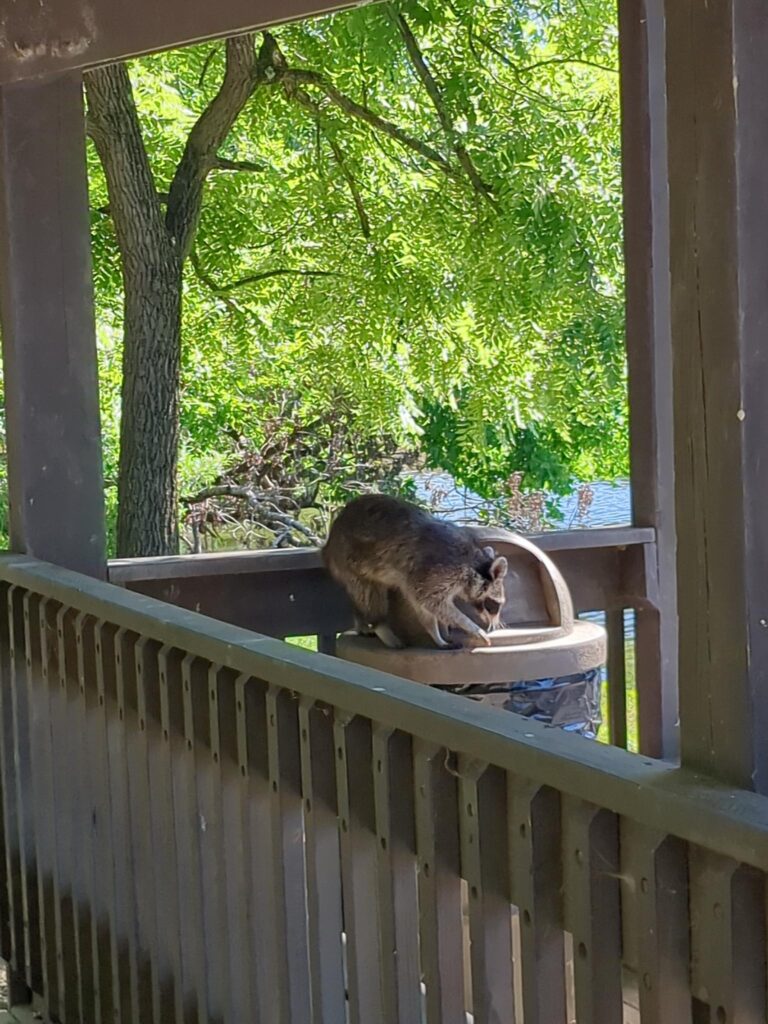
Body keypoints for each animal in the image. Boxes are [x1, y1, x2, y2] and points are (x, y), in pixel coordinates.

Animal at [321, 493, 507, 647]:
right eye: (495, 604)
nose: (495, 625)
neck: (473, 564)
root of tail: (329, 544)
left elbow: (424, 608)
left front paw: (437, 632)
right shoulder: (437, 571)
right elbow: (430, 602)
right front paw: (469, 626)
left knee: (362, 595)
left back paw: (360, 620)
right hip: (350, 561)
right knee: (368, 593)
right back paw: (381, 626)